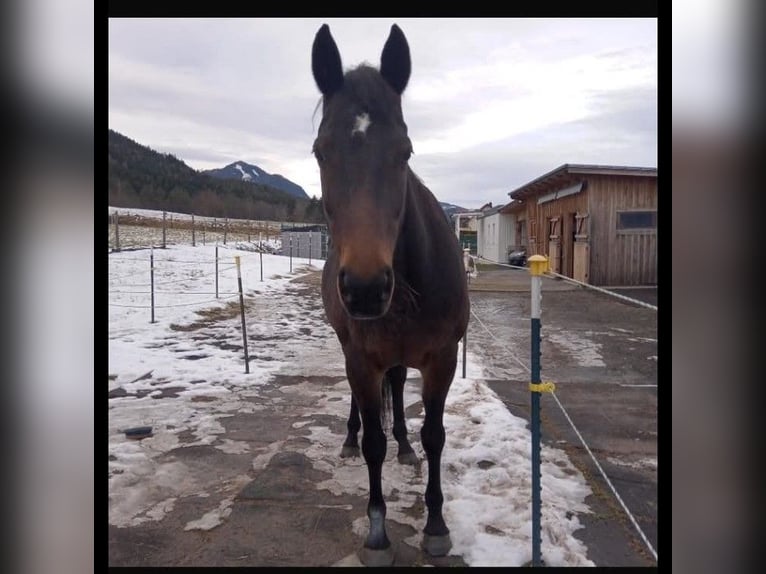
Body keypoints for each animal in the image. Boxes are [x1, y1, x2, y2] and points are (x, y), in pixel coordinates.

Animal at [311, 23, 470, 566]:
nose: (364, 289)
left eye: (405, 151)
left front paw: (437, 525)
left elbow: (435, 435)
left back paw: (405, 445)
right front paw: (377, 533)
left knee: (398, 389)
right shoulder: (361, 358)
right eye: (320, 151)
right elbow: (373, 442)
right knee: (367, 409)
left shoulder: (443, 357)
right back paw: (349, 438)